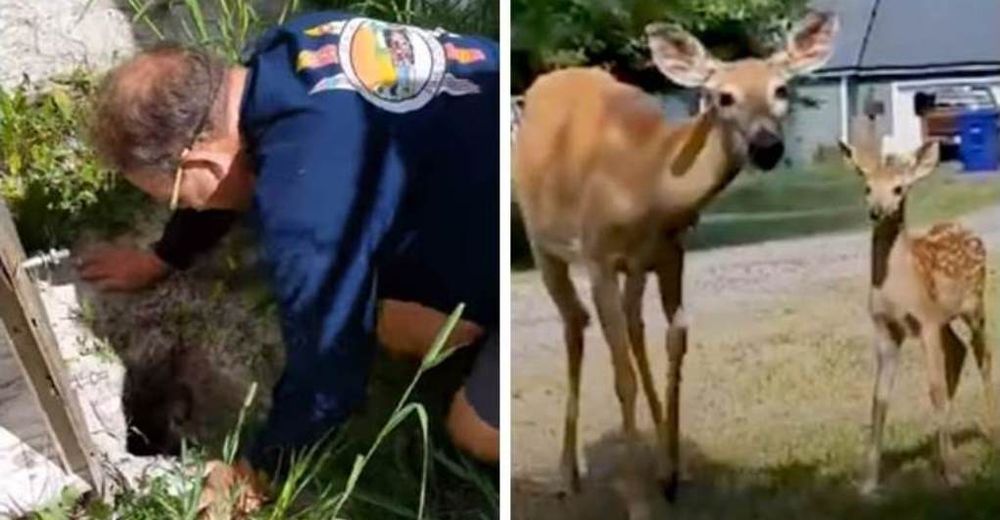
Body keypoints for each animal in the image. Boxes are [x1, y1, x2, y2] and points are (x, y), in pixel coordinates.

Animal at [516, 9, 836, 512]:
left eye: (781, 89)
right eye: (723, 97)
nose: (767, 146)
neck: (649, 181)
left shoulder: (670, 253)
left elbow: (676, 341)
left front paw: (669, 471)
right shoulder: (600, 256)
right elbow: (622, 375)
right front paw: (637, 501)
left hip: (632, 267)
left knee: (631, 324)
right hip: (542, 241)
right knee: (574, 322)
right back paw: (567, 473)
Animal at [840, 139, 996, 496]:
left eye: (899, 188)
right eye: (867, 187)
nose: (877, 211)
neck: (898, 289)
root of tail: (966, 229)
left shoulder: (925, 322)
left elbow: (934, 388)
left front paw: (955, 476)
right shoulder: (886, 328)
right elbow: (879, 399)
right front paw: (868, 483)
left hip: (975, 306)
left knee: (983, 353)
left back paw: (991, 437)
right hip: (944, 319)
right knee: (958, 350)